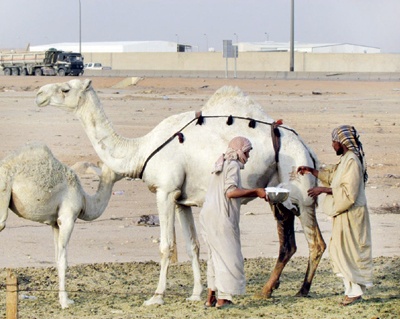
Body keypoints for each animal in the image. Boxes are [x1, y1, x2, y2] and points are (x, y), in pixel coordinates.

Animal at [0, 143, 122, 310]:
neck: (84, 200)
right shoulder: (67, 217)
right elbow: (64, 260)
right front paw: (65, 302)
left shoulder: (55, 223)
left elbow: (57, 258)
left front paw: (63, 299)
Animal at [36, 79, 326, 306]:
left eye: (65, 89)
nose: (39, 94)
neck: (141, 149)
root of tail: (308, 148)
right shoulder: (181, 200)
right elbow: (192, 245)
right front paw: (196, 294)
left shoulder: (165, 191)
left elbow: (166, 246)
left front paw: (156, 297)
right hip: (278, 196)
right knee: (287, 242)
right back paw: (266, 291)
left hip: (301, 191)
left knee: (316, 242)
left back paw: (302, 290)